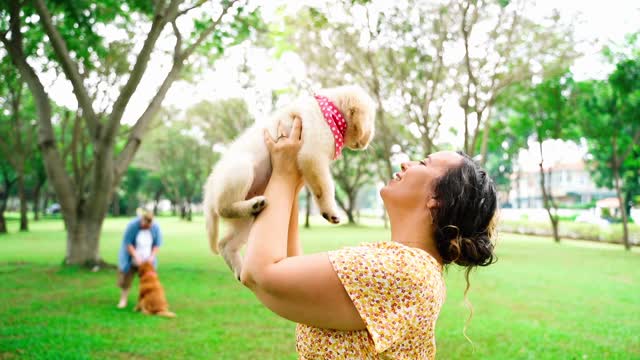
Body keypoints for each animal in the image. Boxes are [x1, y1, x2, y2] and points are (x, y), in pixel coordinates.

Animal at [204, 84, 376, 278]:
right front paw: (330, 211)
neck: (330, 111)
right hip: (242, 169)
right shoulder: (313, 156)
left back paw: (241, 266)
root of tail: (209, 188)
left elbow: (318, 187)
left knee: (225, 244)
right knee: (223, 208)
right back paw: (250, 206)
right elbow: (325, 187)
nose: (367, 143)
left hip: (246, 222)